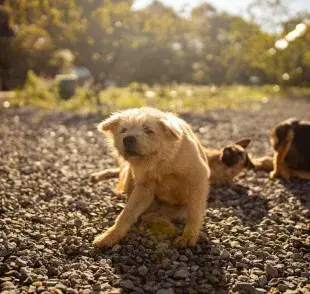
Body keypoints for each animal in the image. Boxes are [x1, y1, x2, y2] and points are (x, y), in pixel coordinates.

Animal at [91, 108, 209, 248]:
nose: (128, 139)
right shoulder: (144, 186)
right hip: (129, 178)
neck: (160, 162)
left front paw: (188, 238)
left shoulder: (198, 178)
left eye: (148, 130)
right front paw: (108, 237)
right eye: (123, 130)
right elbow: (127, 213)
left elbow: (194, 212)